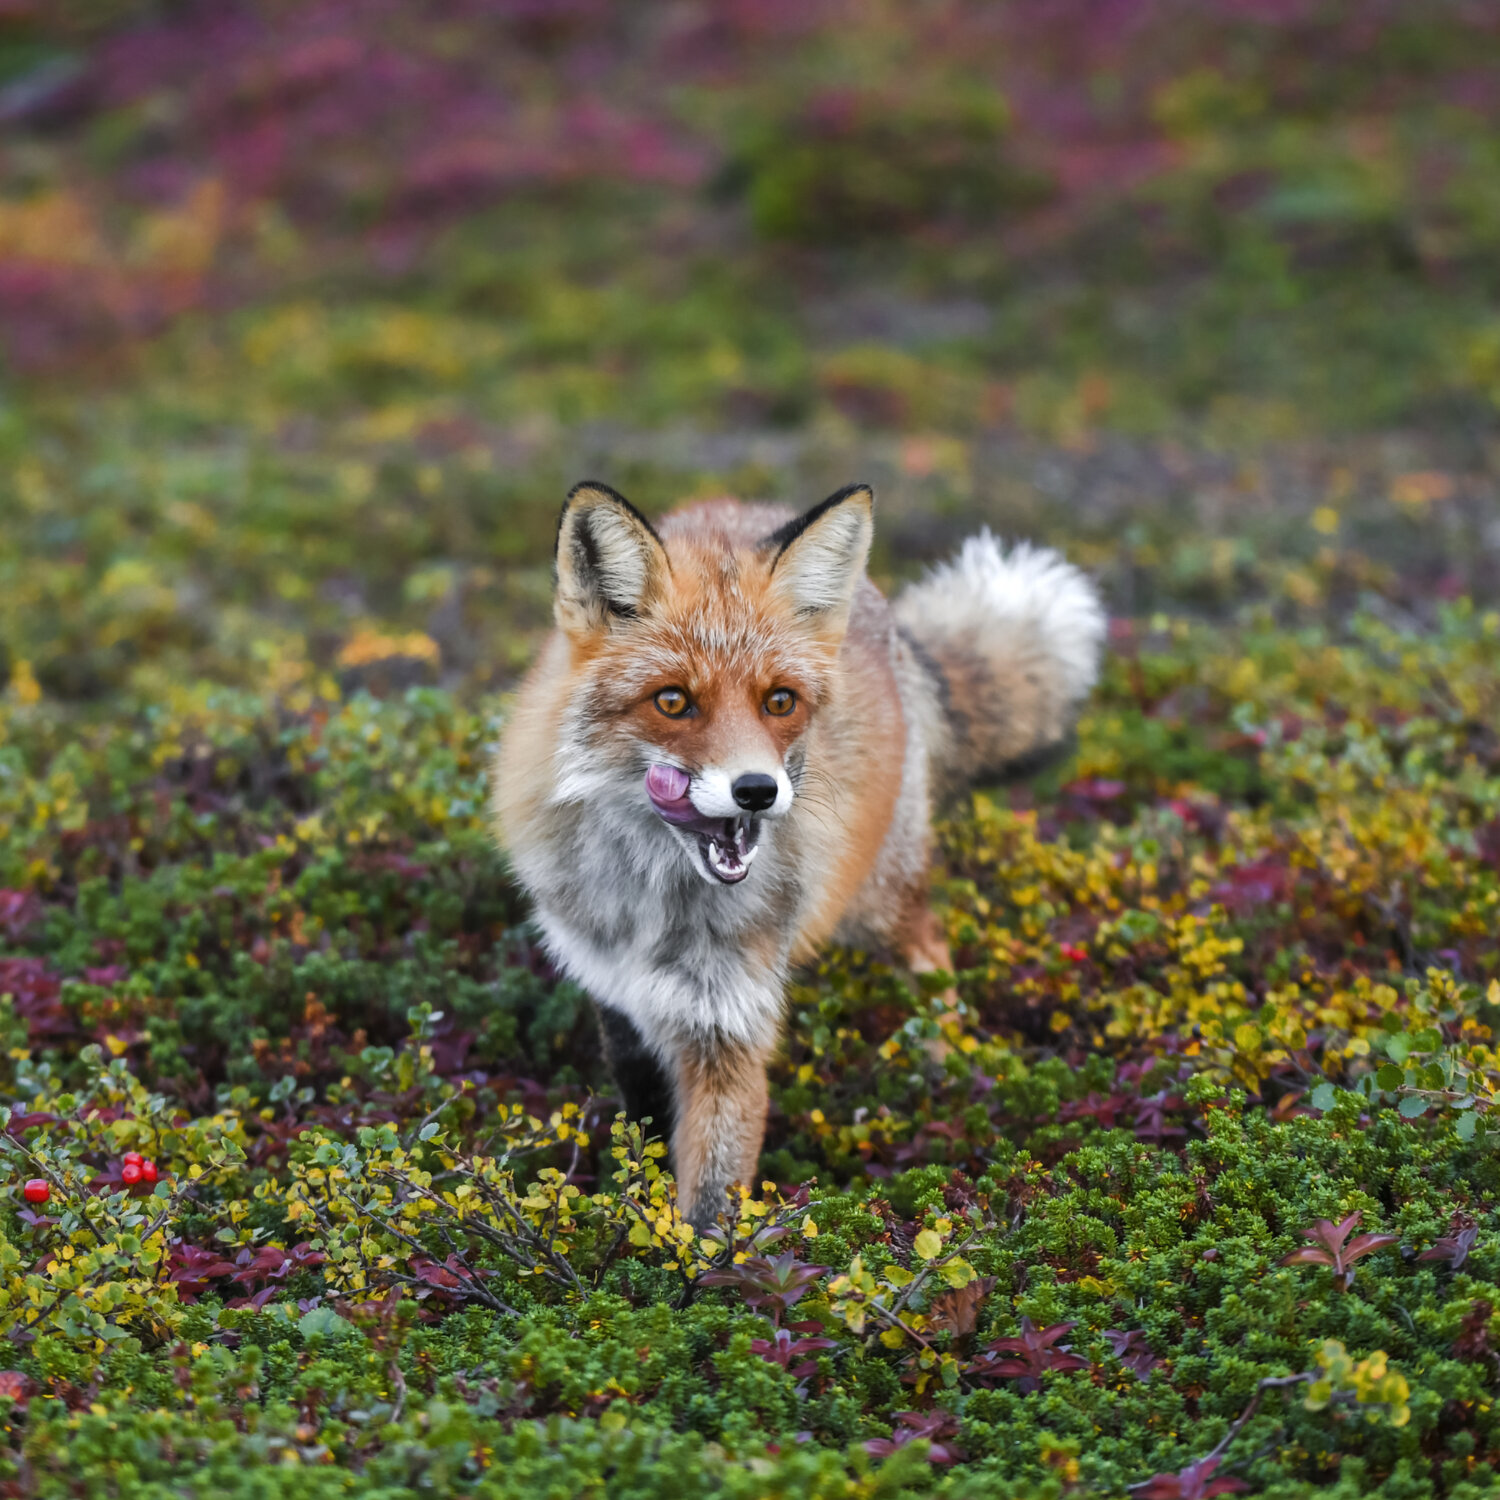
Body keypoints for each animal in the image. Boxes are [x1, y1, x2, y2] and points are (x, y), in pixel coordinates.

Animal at [492, 481, 1104, 1229]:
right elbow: (647, 1144)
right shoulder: (619, 1002)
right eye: (673, 701)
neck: (652, 905)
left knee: (931, 950)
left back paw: (941, 1069)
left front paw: (691, 1260)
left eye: (779, 701)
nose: (757, 791)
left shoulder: (727, 1026)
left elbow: (709, 1206)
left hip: (878, 898)